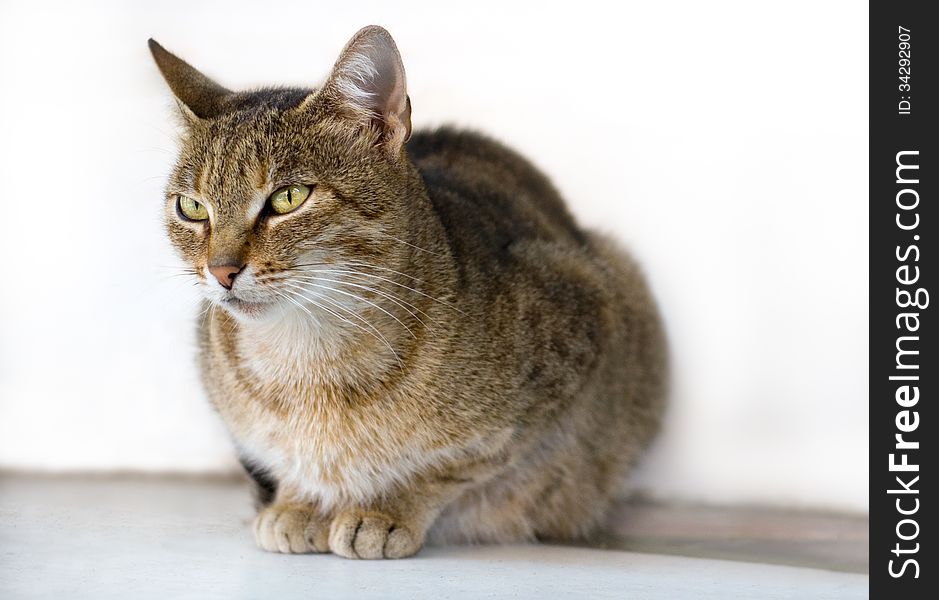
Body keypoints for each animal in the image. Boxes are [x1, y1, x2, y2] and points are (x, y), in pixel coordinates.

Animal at [151, 23, 668, 556]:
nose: (221, 271)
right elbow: (286, 458)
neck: (308, 363)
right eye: (192, 207)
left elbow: (452, 466)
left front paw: (385, 510)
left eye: (287, 198)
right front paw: (299, 502)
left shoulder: (581, 324)